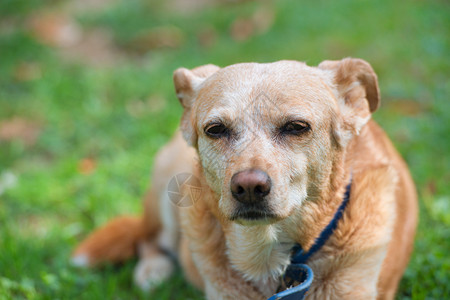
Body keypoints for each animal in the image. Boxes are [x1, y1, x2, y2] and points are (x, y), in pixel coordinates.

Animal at [71, 57, 418, 298]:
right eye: (215, 129)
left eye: (297, 127)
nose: (249, 187)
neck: (269, 256)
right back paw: (153, 268)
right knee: (150, 238)